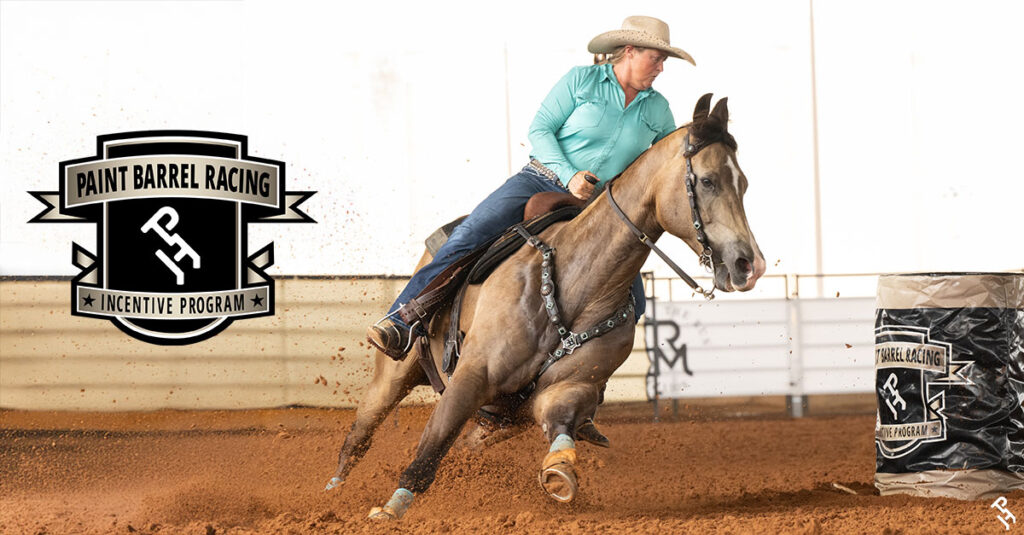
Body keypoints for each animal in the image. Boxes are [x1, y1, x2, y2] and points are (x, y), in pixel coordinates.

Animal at [325, 94, 766, 519]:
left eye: (744, 183)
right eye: (707, 181)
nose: (750, 265)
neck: (572, 283)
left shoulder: (573, 386)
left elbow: (561, 424)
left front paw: (559, 472)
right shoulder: (471, 376)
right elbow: (433, 443)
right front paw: (391, 508)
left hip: (498, 420)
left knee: (469, 440)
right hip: (393, 375)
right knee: (358, 437)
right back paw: (334, 492)